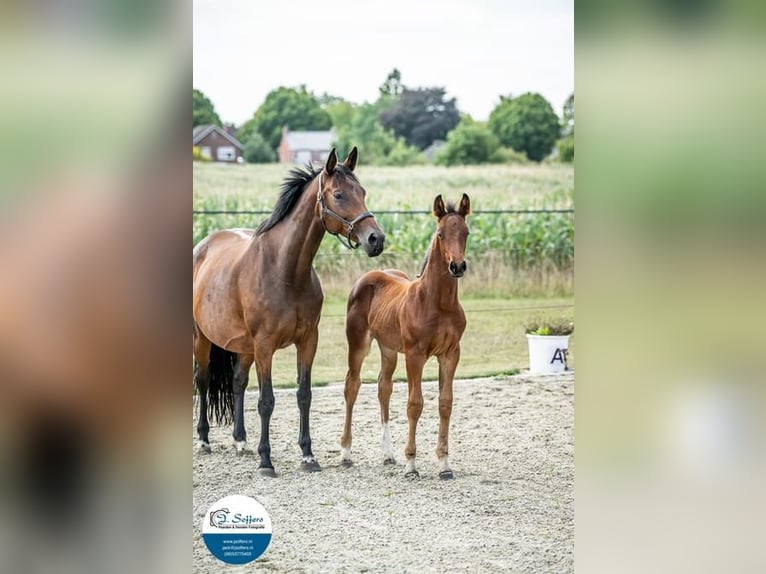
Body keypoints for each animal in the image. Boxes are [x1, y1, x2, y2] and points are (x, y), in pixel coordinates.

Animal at [192, 147, 385, 476]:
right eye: (338, 195)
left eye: (362, 192)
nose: (376, 239)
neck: (285, 270)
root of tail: (202, 246)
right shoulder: (265, 346)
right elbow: (266, 401)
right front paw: (266, 461)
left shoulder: (307, 341)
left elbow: (304, 395)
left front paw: (308, 455)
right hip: (202, 339)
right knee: (203, 380)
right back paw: (204, 439)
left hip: (243, 347)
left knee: (237, 382)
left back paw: (240, 441)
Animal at [340, 193, 470, 479]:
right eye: (441, 234)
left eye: (466, 232)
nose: (457, 266)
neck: (438, 303)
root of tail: (368, 276)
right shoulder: (415, 354)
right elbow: (414, 404)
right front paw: (411, 463)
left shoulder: (451, 354)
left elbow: (445, 403)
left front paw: (444, 464)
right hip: (358, 344)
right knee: (352, 386)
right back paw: (345, 452)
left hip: (388, 349)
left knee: (383, 388)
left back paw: (388, 455)